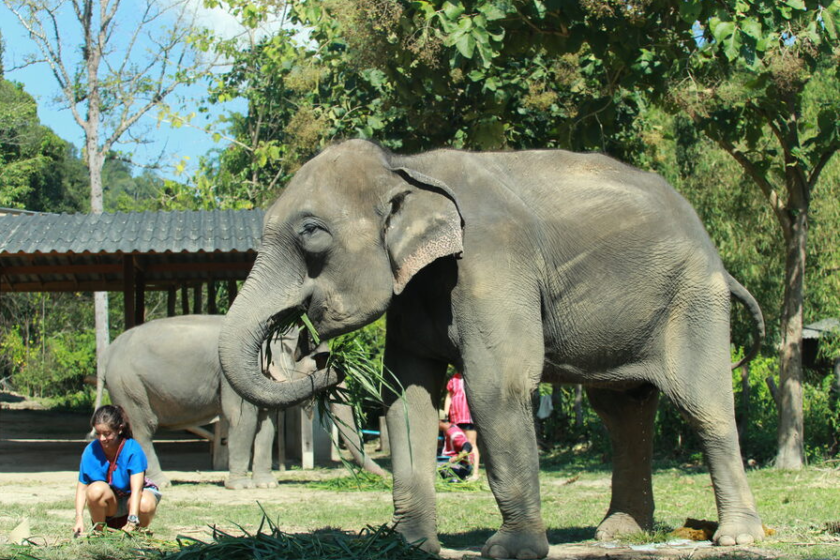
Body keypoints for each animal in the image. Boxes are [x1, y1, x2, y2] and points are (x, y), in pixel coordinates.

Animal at [104, 314, 384, 490]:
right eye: (320, 360)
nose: (341, 365)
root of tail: (110, 350)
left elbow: (266, 425)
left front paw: (267, 484)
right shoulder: (231, 377)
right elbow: (243, 420)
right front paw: (240, 486)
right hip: (128, 385)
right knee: (143, 429)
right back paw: (161, 483)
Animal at [218, 139, 765, 558]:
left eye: (311, 233)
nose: (329, 363)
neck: (406, 164)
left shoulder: (491, 263)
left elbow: (496, 389)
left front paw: (510, 551)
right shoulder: (414, 291)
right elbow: (406, 394)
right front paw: (406, 546)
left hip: (693, 300)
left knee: (702, 406)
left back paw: (736, 538)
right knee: (622, 414)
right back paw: (618, 533)